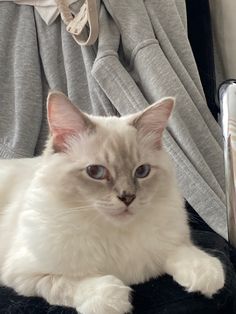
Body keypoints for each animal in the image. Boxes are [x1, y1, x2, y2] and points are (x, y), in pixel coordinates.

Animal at [0, 91, 225, 314]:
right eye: (95, 172)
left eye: (142, 171)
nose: (127, 197)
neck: (116, 233)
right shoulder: (26, 275)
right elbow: (69, 283)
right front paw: (113, 299)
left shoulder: (166, 246)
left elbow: (184, 252)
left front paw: (207, 274)